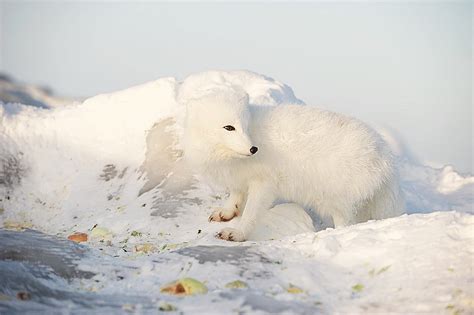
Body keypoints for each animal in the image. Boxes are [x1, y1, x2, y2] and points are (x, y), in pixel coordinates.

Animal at [183, 87, 406, 242]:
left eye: (245, 127)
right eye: (229, 127)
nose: (253, 149)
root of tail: (384, 155)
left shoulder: (264, 182)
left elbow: (251, 212)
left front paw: (237, 233)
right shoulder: (238, 179)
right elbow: (235, 198)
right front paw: (226, 213)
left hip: (336, 199)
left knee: (346, 223)